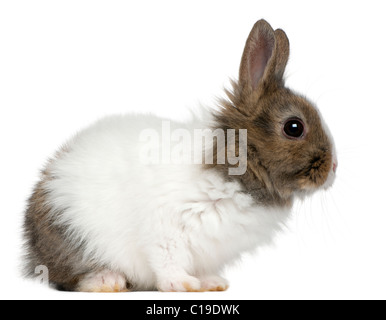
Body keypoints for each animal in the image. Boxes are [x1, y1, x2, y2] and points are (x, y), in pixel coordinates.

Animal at [22, 18, 336, 292]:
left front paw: (211, 283)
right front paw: (181, 285)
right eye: (294, 127)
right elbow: (166, 259)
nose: (333, 169)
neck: (233, 163)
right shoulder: (166, 228)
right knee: (69, 276)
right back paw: (106, 281)